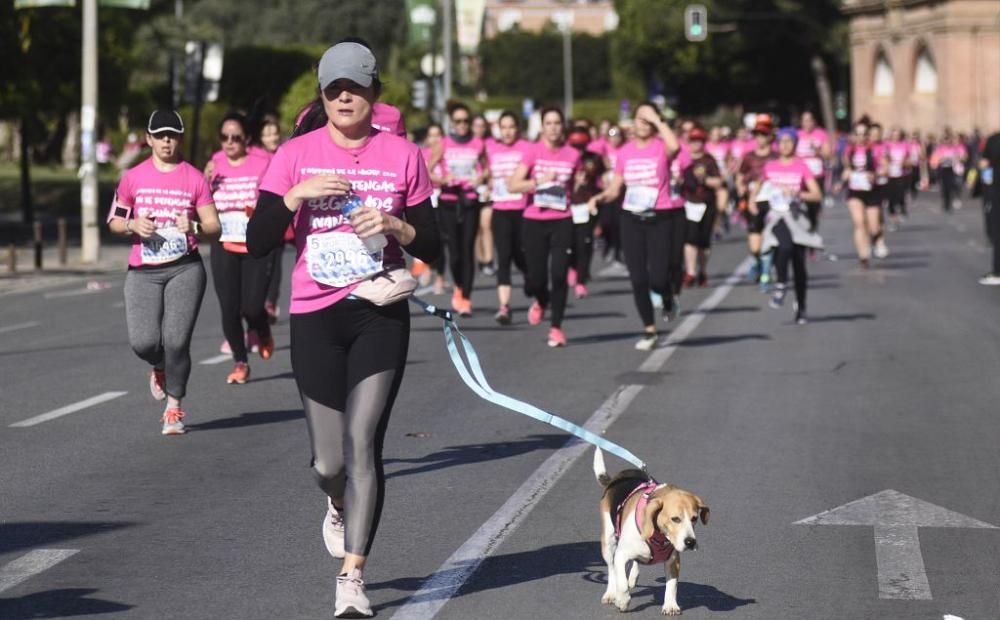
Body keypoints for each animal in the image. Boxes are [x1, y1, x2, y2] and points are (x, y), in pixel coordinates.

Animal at [592, 448, 712, 612]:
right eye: (675, 519)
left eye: (694, 518)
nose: (690, 542)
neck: (659, 536)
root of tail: (617, 478)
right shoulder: (621, 555)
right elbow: (621, 582)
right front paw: (622, 600)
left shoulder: (673, 560)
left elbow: (672, 585)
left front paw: (670, 605)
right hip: (608, 541)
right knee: (611, 570)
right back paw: (611, 593)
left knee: (634, 563)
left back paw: (633, 577)